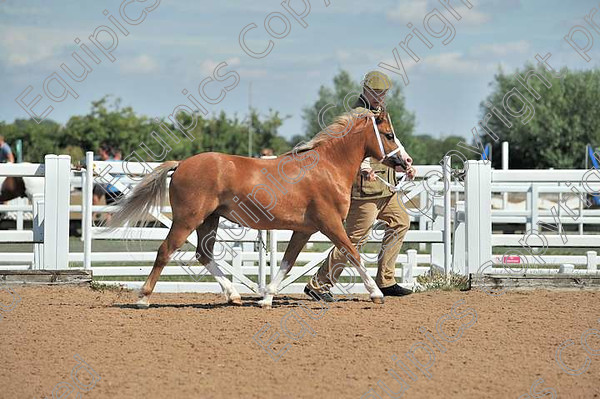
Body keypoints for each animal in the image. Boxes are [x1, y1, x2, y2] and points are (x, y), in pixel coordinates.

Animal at [108, 109, 412, 310]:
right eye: (389, 134)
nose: (407, 162)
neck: (327, 167)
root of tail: (181, 163)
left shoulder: (303, 231)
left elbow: (287, 263)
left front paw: (266, 297)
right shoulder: (331, 224)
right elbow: (353, 253)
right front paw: (376, 293)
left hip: (209, 220)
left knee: (204, 255)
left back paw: (234, 295)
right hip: (187, 220)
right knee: (165, 251)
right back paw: (143, 298)